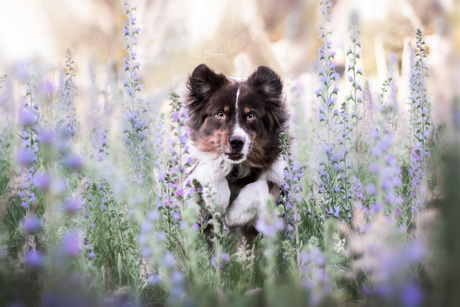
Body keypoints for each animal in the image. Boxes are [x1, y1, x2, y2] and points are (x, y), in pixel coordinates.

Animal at [184, 64, 286, 243]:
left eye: (251, 115)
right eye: (220, 114)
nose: (237, 142)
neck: (236, 168)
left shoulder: (279, 178)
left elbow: (262, 185)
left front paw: (235, 214)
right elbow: (209, 165)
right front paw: (218, 198)